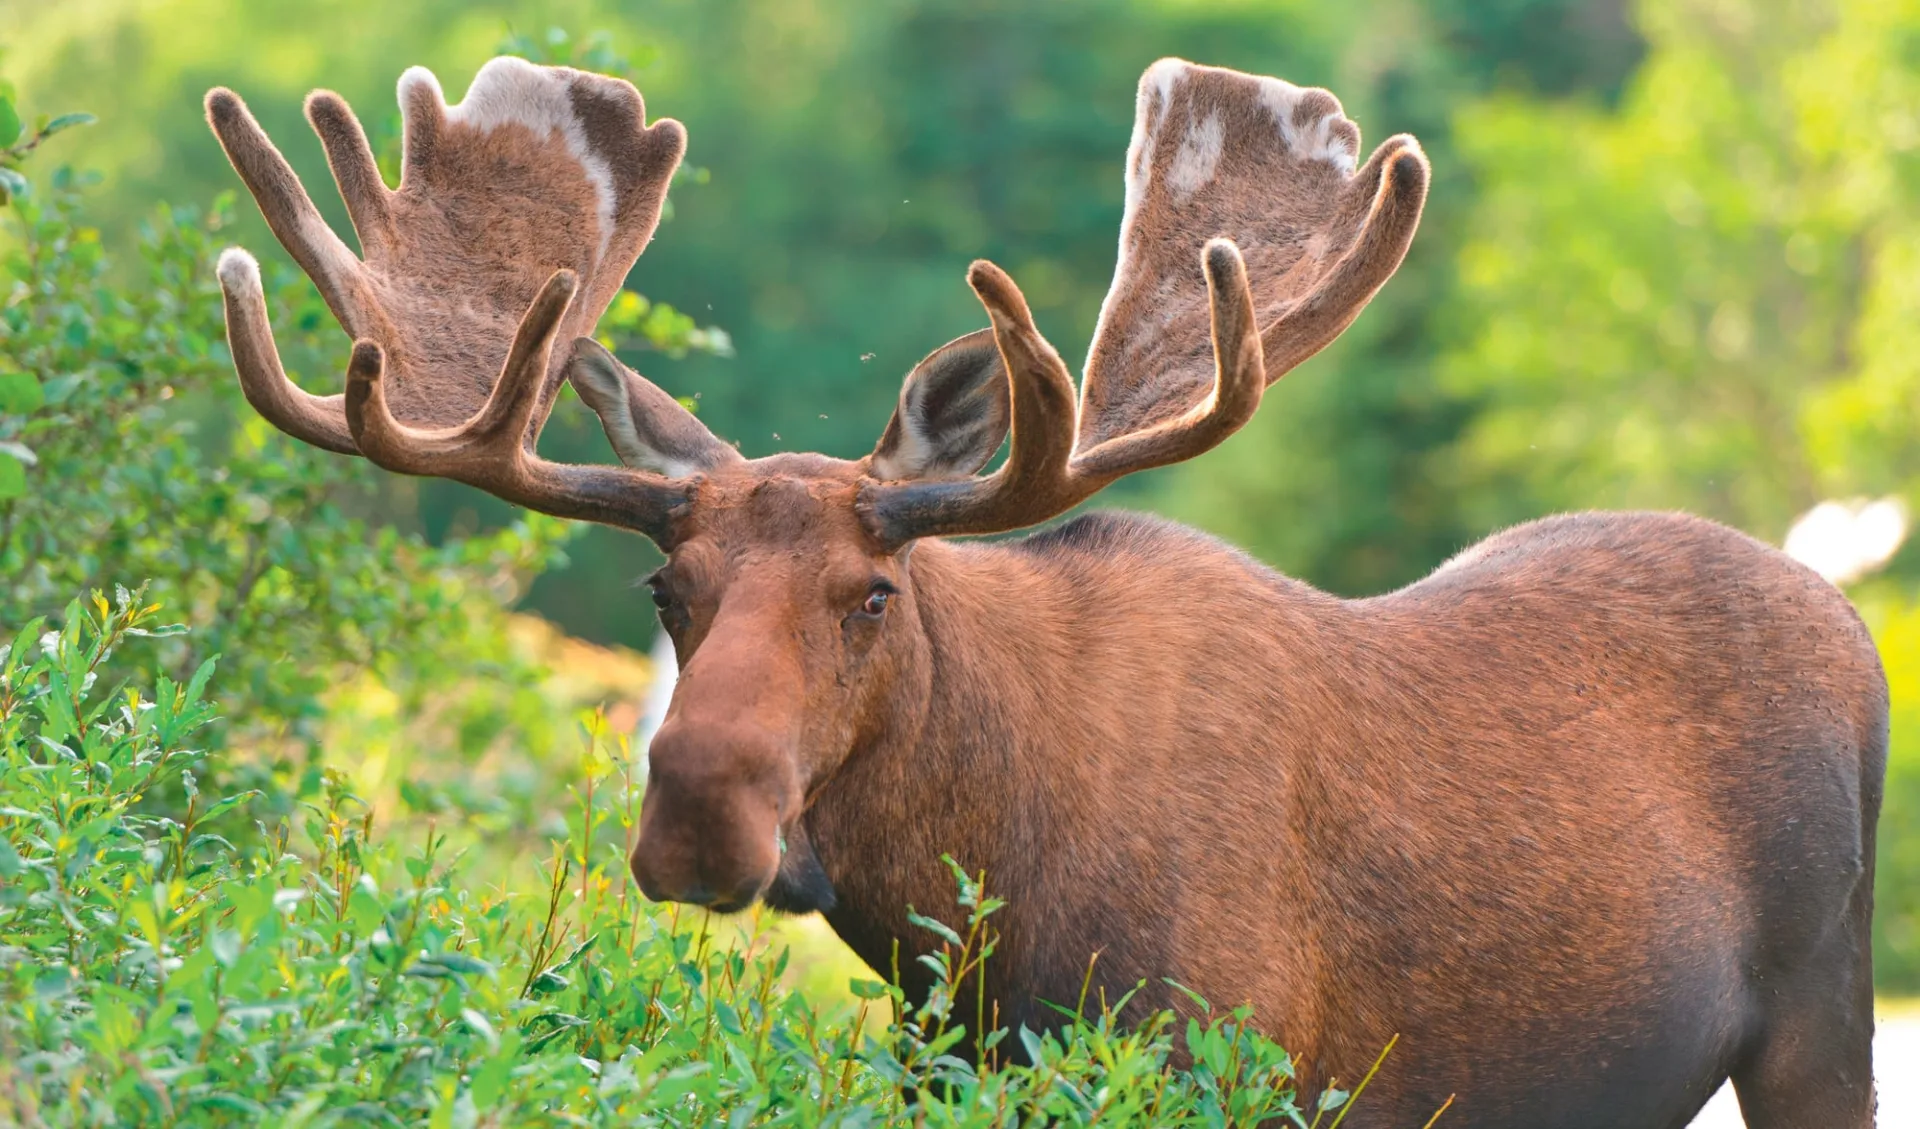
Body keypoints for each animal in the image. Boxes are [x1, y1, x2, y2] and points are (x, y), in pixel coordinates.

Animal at [202, 55, 1881, 1129]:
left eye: (874, 592)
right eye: (665, 581)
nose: (696, 811)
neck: (974, 909)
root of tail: (1851, 619)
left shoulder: (1230, 1060)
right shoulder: (942, 1058)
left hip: (1823, 1014)